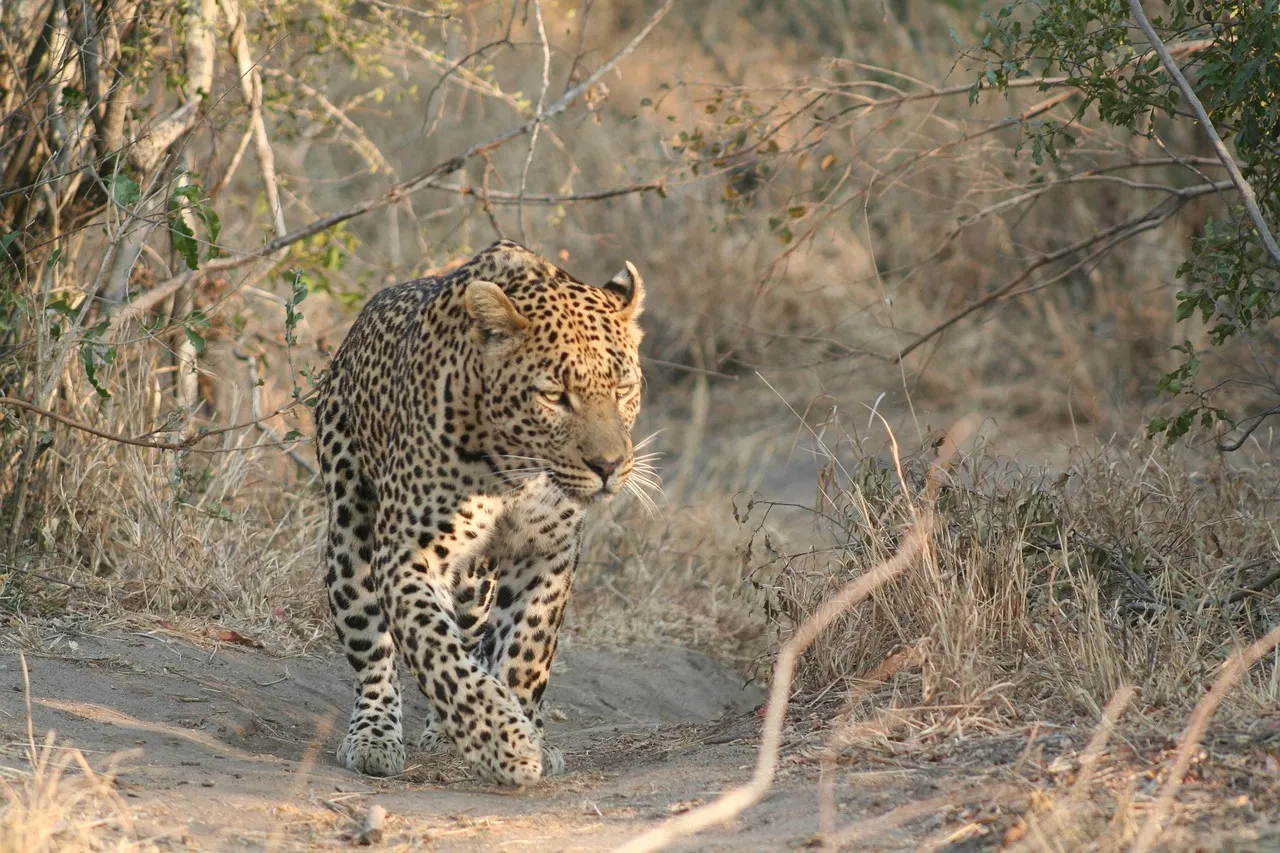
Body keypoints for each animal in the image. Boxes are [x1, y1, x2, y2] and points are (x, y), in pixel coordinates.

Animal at [314, 239, 649, 787]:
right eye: (554, 395)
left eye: (622, 388)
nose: (608, 466)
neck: (517, 469)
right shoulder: (406, 553)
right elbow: (434, 649)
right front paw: (503, 741)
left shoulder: (548, 552)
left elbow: (527, 652)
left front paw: (525, 731)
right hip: (349, 539)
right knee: (374, 653)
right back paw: (375, 736)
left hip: (474, 585)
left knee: (471, 636)